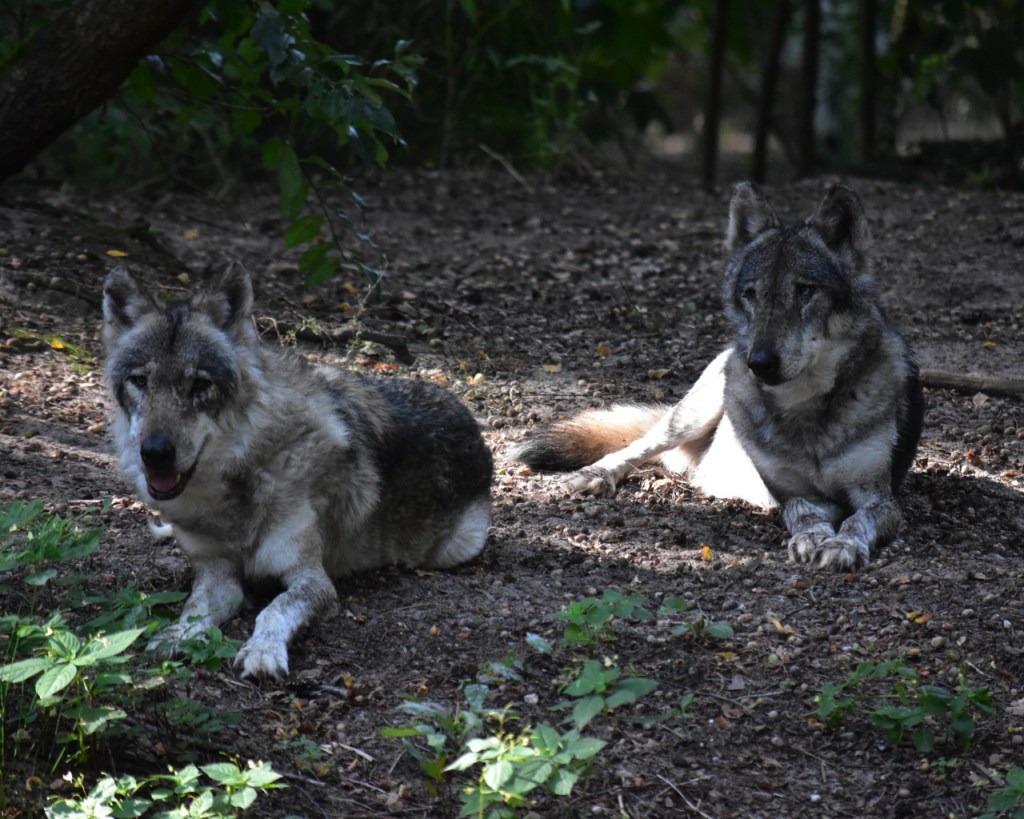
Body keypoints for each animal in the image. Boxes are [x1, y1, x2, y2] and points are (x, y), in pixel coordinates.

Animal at [102, 264, 493, 679]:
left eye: (200, 385)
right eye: (140, 381)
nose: (154, 453)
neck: (240, 486)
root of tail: (467, 414)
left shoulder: (313, 579)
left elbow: (275, 610)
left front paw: (262, 651)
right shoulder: (216, 573)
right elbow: (194, 610)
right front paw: (175, 636)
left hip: (455, 548)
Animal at [516, 183, 924, 570]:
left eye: (806, 290)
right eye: (751, 293)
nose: (760, 362)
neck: (803, 410)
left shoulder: (879, 497)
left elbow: (856, 521)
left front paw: (841, 546)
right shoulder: (794, 494)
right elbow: (804, 516)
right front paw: (813, 539)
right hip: (700, 409)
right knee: (637, 447)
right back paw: (595, 475)